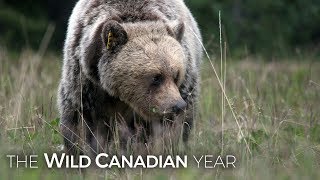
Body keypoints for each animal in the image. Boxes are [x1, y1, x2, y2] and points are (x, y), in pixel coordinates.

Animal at [57, 0, 202, 155]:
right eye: (156, 77)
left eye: (176, 75)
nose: (177, 106)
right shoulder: (87, 82)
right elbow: (83, 121)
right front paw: (84, 149)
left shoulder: (182, 85)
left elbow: (170, 128)